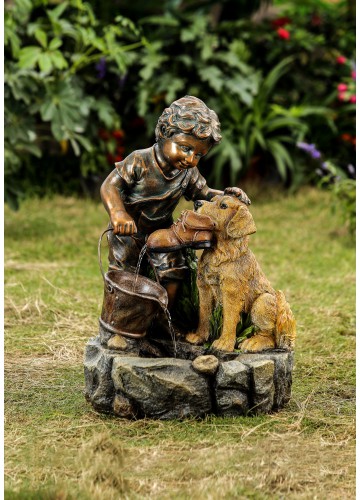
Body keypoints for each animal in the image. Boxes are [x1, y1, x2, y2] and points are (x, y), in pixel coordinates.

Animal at [186, 193, 296, 354]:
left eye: (223, 206)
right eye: (212, 200)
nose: (197, 203)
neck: (220, 253)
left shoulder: (231, 292)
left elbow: (229, 319)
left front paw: (224, 344)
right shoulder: (204, 287)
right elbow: (204, 314)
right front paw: (198, 337)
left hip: (262, 302)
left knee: (270, 337)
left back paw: (252, 343)